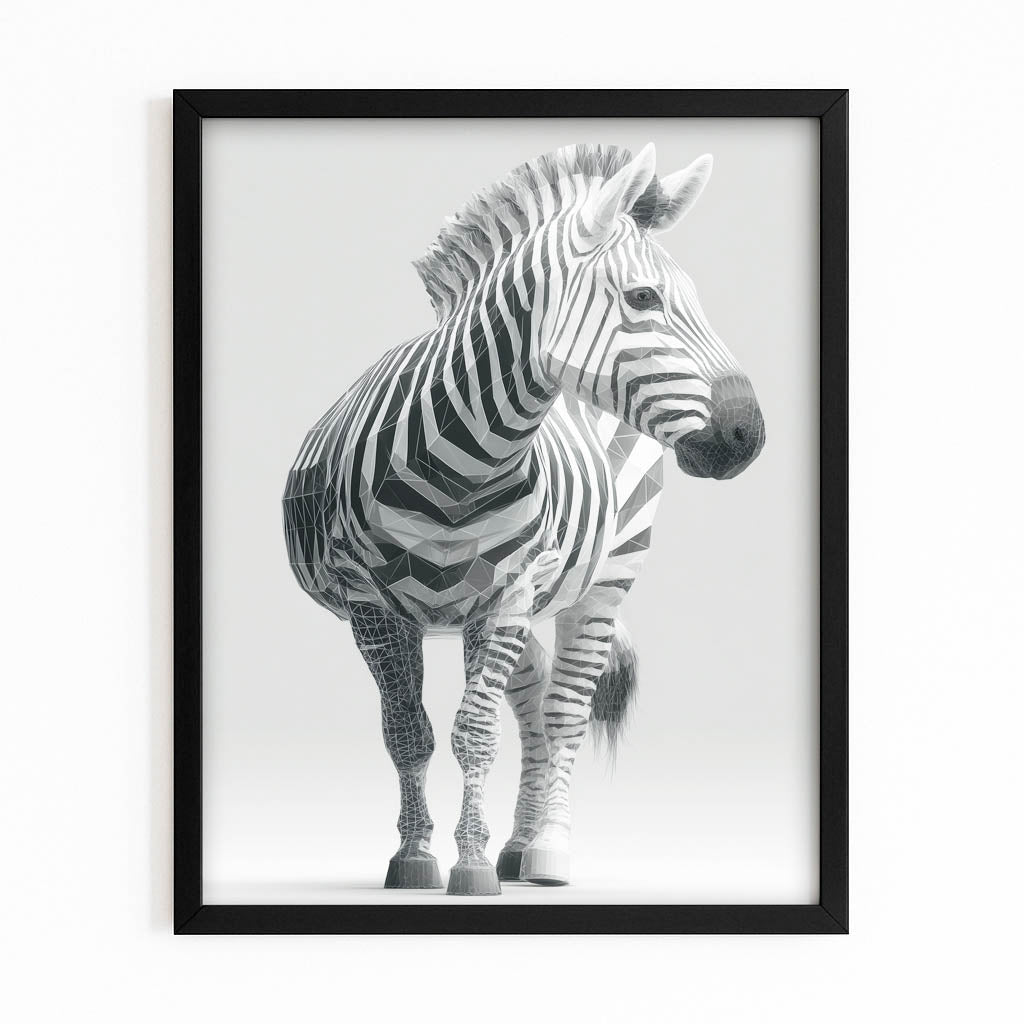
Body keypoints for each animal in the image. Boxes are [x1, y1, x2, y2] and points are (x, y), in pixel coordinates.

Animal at [283, 143, 765, 895]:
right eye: (644, 298)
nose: (749, 434)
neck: (462, 465)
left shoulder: (504, 594)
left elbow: (474, 733)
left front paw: (471, 864)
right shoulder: (370, 605)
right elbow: (408, 733)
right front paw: (417, 856)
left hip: (603, 584)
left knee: (564, 712)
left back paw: (547, 852)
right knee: (536, 700)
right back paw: (518, 843)